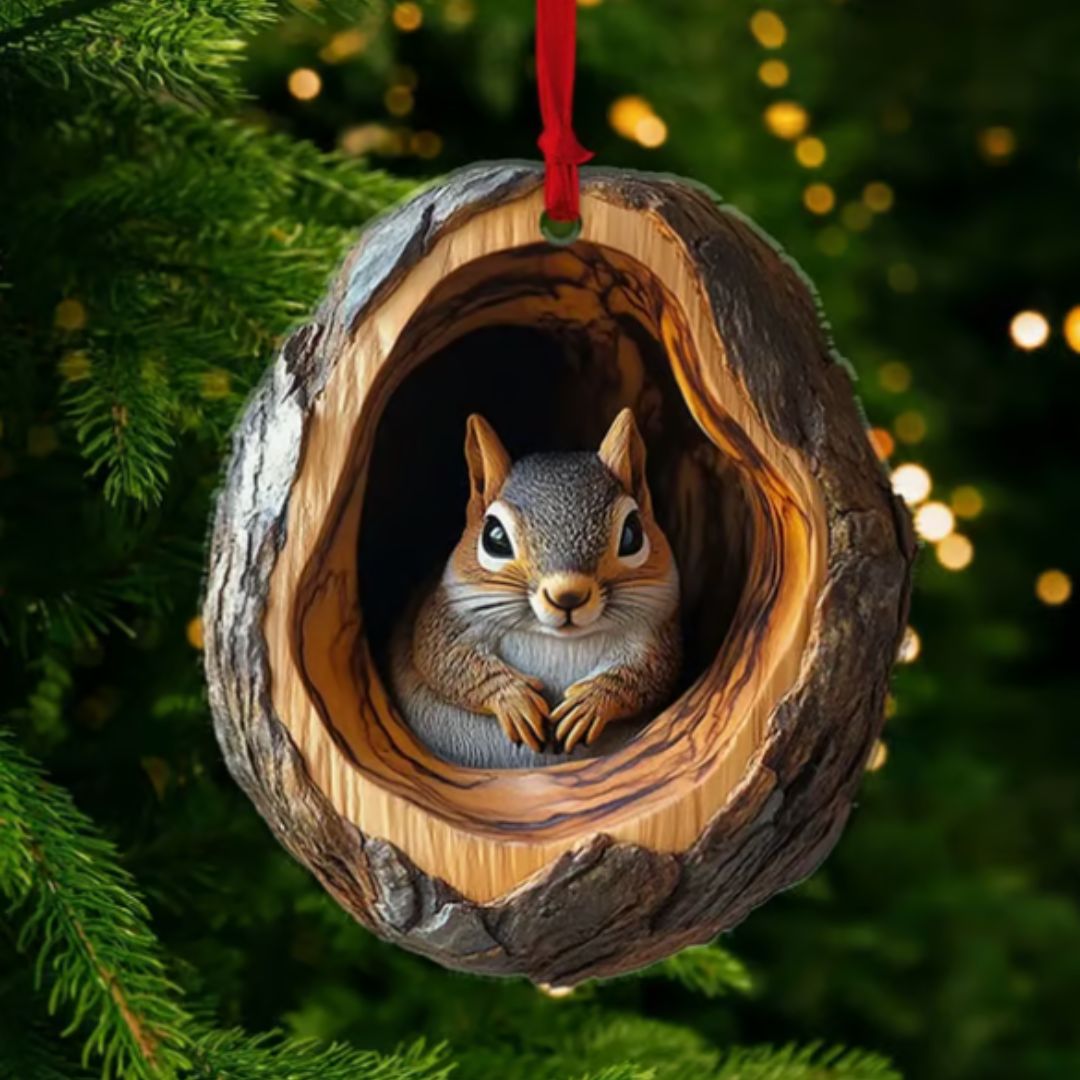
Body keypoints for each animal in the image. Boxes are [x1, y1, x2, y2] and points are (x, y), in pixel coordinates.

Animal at [388, 406, 678, 768]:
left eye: (632, 534)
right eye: (494, 537)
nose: (567, 595)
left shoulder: (652, 633)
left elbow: (652, 672)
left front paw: (591, 702)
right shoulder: (447, 616)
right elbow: (443, 658)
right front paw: (513, 699)